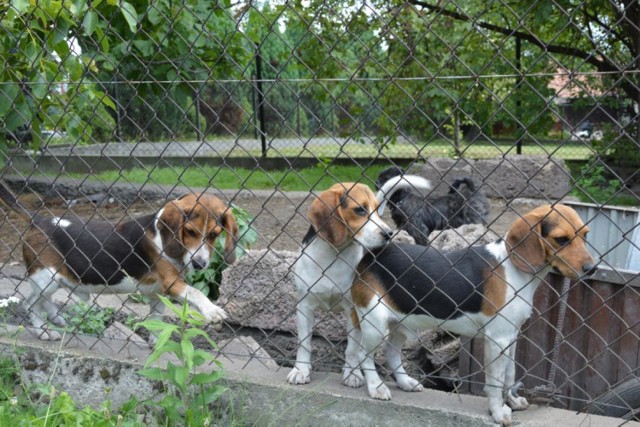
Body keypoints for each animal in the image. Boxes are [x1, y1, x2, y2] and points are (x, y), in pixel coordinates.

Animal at [0, 184, 239, 342]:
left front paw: (157, 344)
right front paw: (212, 310)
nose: (200, 265)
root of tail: (39, 220)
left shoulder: (157, 295)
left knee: (40, 301)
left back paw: (56, 318)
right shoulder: (172, 282)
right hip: (46, 278)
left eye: (214, 234)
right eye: (190, 231)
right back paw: (42, 331)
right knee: (29, 304)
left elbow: (156, 321)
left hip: (52, 280)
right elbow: (196, 292)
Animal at [288, 176, 430, 390]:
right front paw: (301, 370)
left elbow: (352, 349)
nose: (389, 233)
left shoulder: (353, 311)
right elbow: (304, 342)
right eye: (360, 210)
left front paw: (352, 374)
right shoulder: (305, 306)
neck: (334, 256)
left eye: (377, 209)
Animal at [350, 205, 596, 424]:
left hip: (402, 323)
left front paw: (513, 402)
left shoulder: (511, 336)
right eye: (561, 239)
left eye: (585, 235)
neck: (514, 269)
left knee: (391, 353)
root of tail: (370, 256)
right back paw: (376, 387)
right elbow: (496, 382)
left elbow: (510, 374)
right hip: (375, 324)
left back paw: (405, 383)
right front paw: (498, 412)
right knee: (363, 354)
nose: (592, 269)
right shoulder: (497, 340)